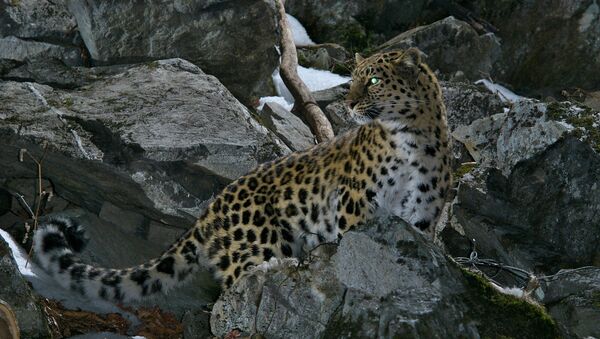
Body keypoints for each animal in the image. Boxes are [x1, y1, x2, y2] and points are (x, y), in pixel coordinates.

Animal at [34, 47, 450, 302]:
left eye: (374, 80)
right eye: (354, 79)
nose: (348, 104)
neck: (413, 136)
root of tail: (211, 208)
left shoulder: (421, 218)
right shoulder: (356, 206)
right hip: (256, 250)